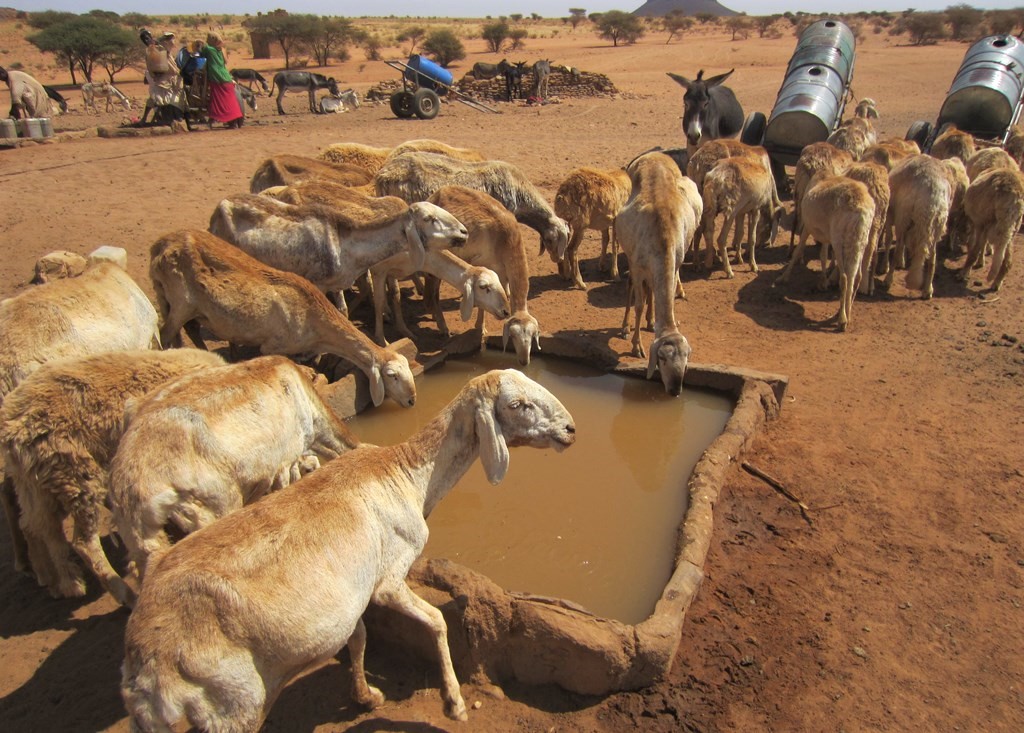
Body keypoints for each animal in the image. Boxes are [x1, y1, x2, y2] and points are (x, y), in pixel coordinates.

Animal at [0, 352, 224, 606]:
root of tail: (12, 428)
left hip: (35, 483)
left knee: (32, 524)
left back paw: (49, 579)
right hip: (75, 475)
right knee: (82, 542)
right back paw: (124, 594)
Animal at [119, 368, 577, 728]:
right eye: (518, 404)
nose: (571, 429)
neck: (406, 475)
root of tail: (145, 666)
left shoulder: (353, 595)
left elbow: (357, 638)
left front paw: (366, 696)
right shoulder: (388, 579)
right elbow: (436, 622)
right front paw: (454, 703)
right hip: (232, 703)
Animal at [147, 230, 415, 407]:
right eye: (392, 376)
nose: (412, 401)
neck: (315, 322)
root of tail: (159, 244)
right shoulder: (273, 345)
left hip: (182, 302)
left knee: (189, 330)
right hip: (179, 300)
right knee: (166, 332)